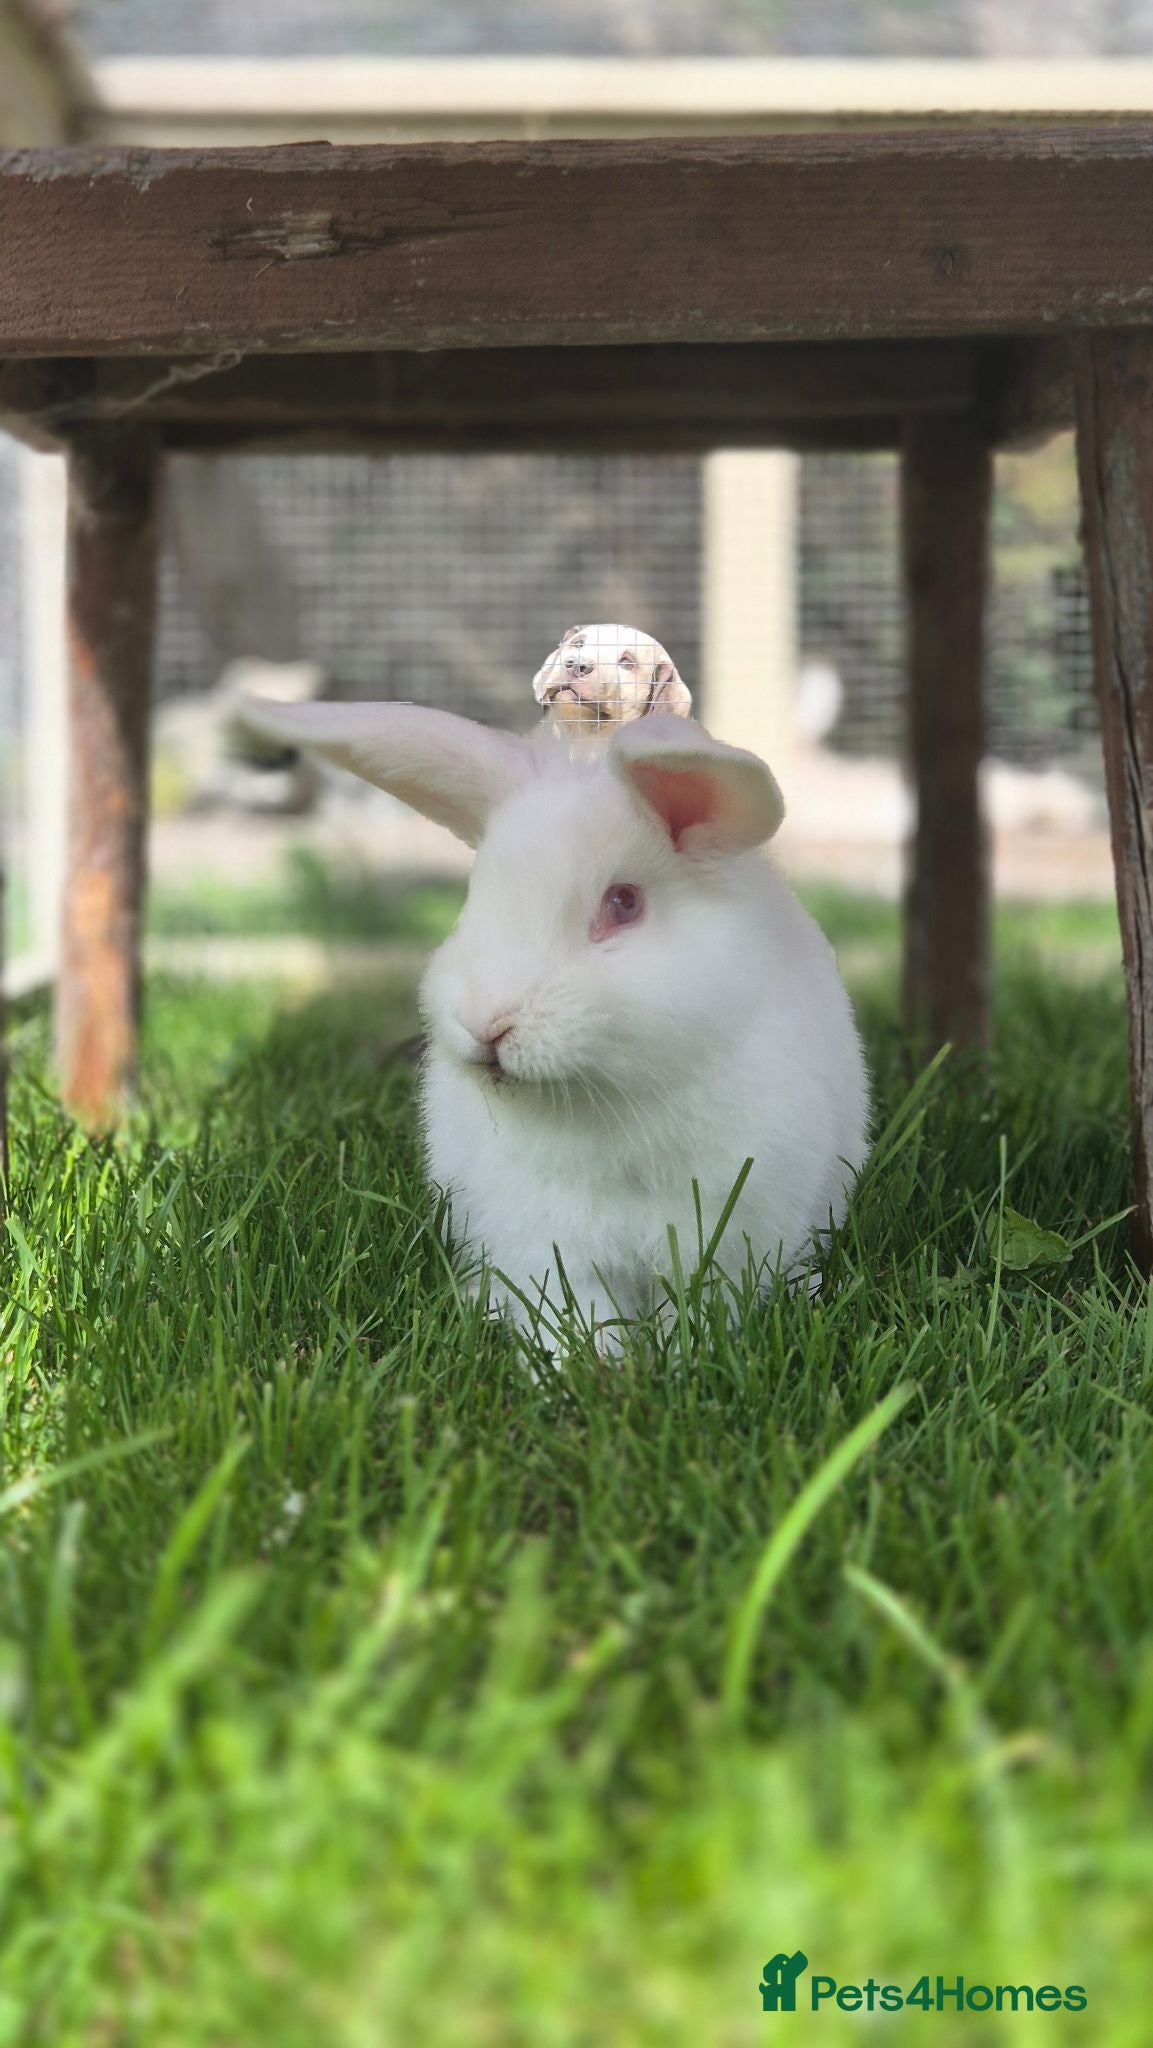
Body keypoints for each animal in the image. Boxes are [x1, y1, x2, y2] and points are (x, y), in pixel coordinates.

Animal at [241, 696, 870, 1349]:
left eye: (623, 903)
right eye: (476, 896)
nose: (486, 1025)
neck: (604, 1101)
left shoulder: (727, 1235)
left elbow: (697, 1310)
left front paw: (676, 1360)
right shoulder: (543, 1243)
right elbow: (575, 1311)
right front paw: (587, 1362)